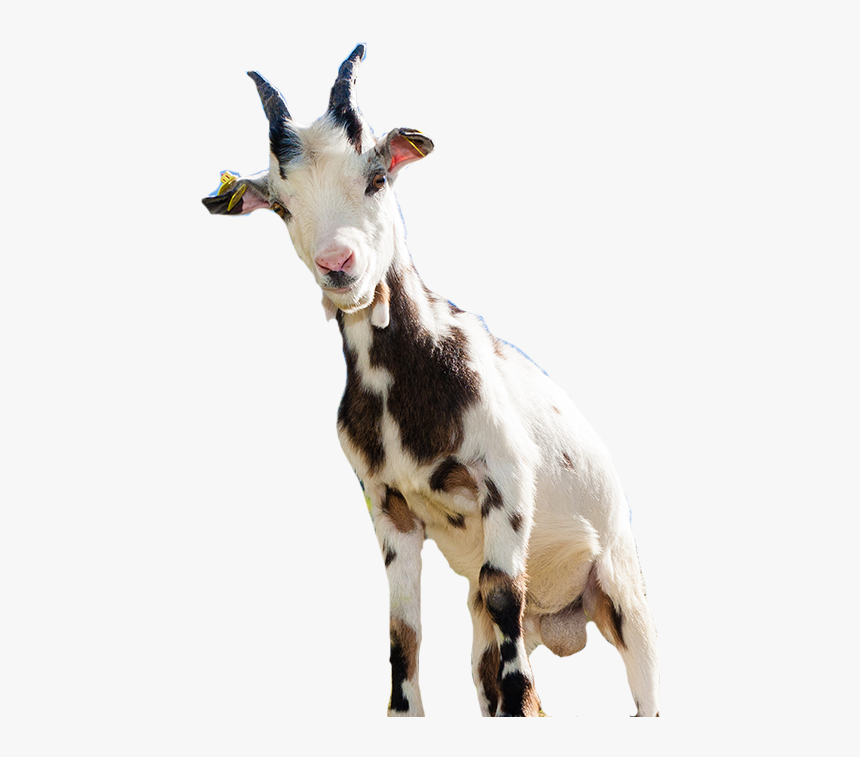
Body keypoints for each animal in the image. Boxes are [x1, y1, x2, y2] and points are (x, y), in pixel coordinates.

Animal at [202, 44, 660, 717]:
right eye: (282, 206)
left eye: (377, 177)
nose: (338, 266)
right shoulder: (388, 506)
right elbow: (404, 629)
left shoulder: (507, 484)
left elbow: (503, 604)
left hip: (624, 592)